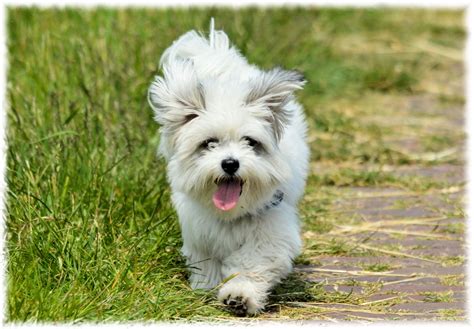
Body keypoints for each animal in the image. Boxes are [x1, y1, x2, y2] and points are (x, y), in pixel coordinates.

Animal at [149, 19, 312, 316]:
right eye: (209, 143)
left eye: (250, 142)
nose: (230, 163)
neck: (231, 213)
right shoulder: (200, 231)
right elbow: (207, 262)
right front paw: (206, 287)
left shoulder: (270, 230)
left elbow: (251, 265)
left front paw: (240, 295)